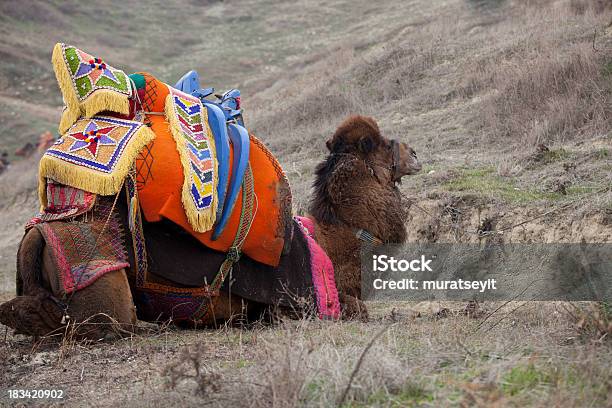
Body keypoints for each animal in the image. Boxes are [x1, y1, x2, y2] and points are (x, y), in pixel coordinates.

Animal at [0, 43, 418, 338]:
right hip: (100, 284)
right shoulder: (301, 299)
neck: (338, 240)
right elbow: (354, 308)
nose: (413, 153)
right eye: (381, 144)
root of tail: (38, 233)